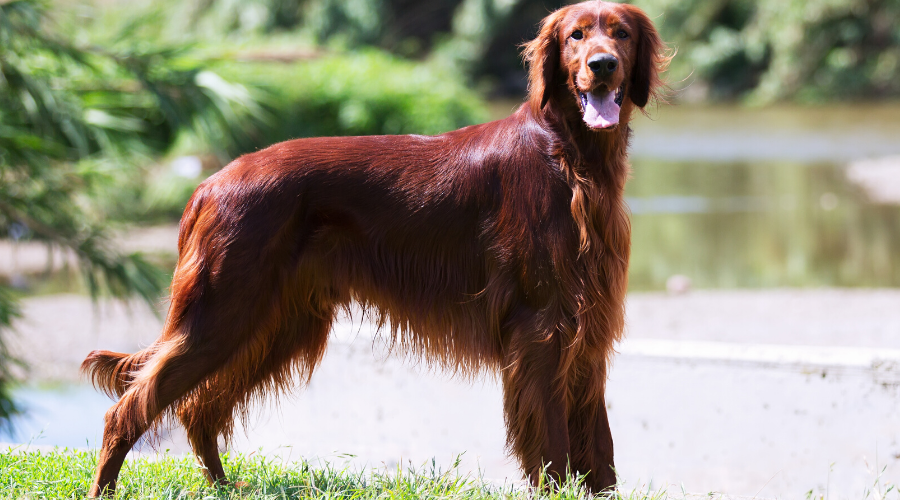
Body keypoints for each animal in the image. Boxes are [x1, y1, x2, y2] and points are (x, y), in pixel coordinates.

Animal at [81, 0, 664, 496]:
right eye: (576, 35)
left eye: (621, 33)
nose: (603, 65)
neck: (570, 157)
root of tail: (210, 183)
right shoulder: (541, 326)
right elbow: (554, 447)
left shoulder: (588, 327)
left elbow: (601, 449)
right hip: (222, 314)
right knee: (128, 409)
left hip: (276, 324)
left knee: (198, 410)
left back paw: (225, 487)